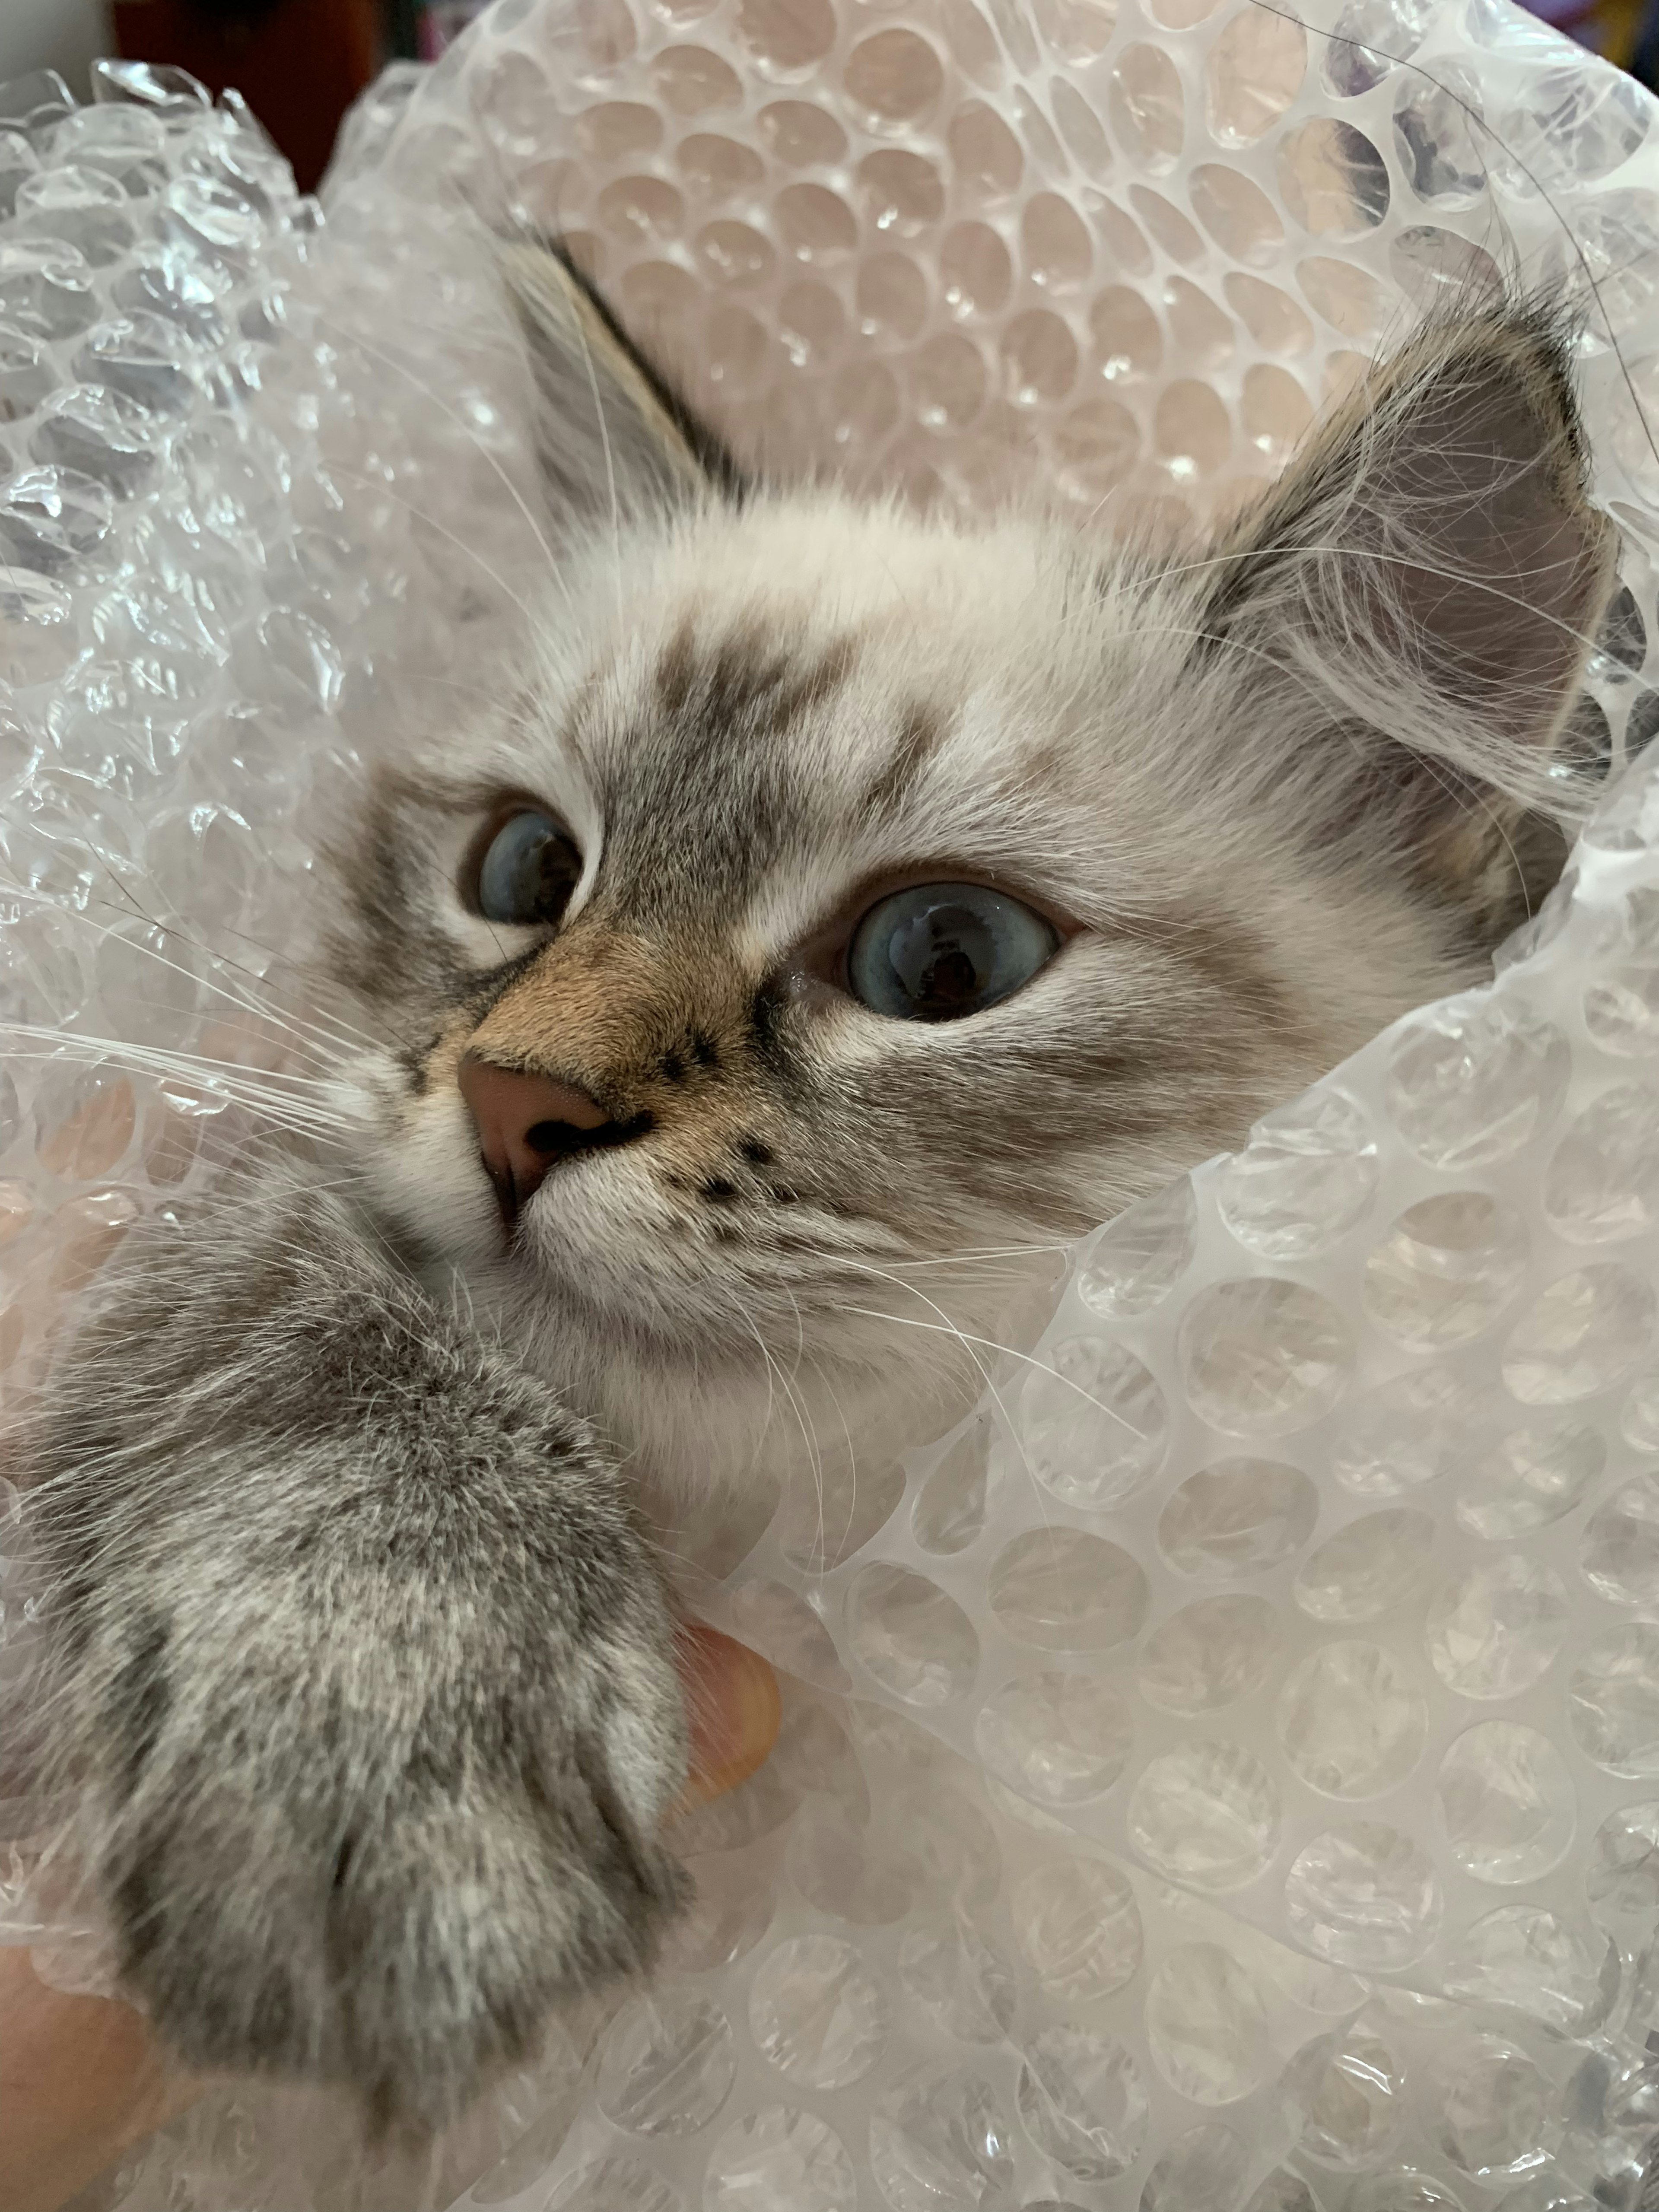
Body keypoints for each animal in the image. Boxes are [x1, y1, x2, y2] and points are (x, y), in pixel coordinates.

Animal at [19, 251, 1619, 2132]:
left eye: (943, 959)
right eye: (527, 870)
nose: (513, 1102)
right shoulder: (237, 1176)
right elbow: (314, 1333)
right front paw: (380, 1752)